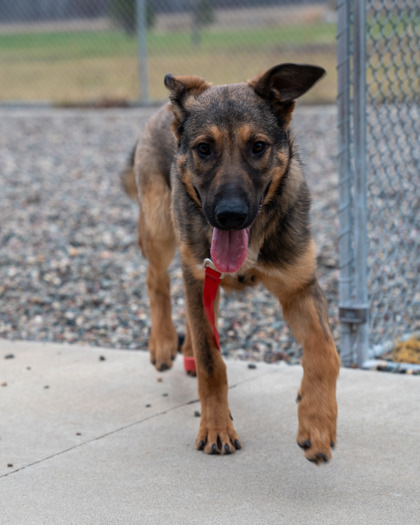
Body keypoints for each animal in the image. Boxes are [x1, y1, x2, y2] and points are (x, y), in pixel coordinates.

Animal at [123, 64, 340, 462]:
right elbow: (212, 363)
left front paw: (317, 424)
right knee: (156, 279)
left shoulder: (300, 287)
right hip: (160, 227)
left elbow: (325, 352)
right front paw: (216, 428)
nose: (230, 216)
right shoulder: (199, 272)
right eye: (204, 149)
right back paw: (163, 341)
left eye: (258, 147)